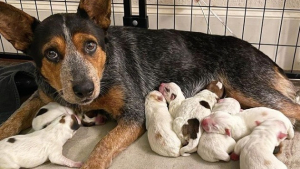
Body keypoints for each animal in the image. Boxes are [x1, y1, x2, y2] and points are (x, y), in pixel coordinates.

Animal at [0, 0, 300, 168]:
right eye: (51, 53)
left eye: (90, 45)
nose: (84, 89)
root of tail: (261, 53)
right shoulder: (42, 94)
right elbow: (15, 117)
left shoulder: (133, 114)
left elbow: (103, 146)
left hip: (249, 87)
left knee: (293, 109)